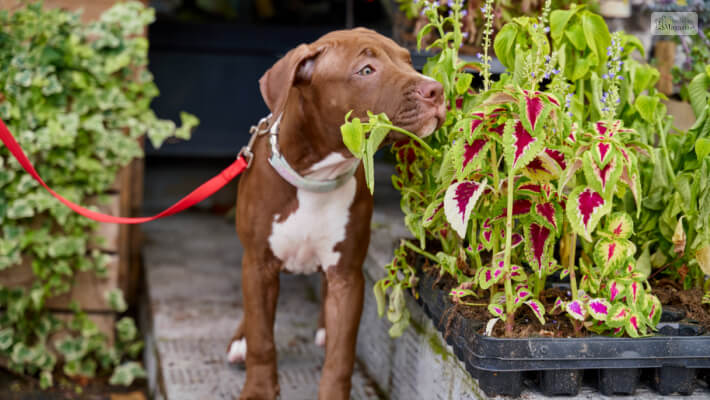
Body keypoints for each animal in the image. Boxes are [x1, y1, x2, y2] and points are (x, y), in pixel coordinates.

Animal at [228, 28, 444, 400]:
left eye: (406, 60)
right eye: (366, 70)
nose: (436, 89)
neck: (315, 177)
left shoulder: (348, 275)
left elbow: (341, 354)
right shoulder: (258, 263)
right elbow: (261, 336)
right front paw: (258, 389)